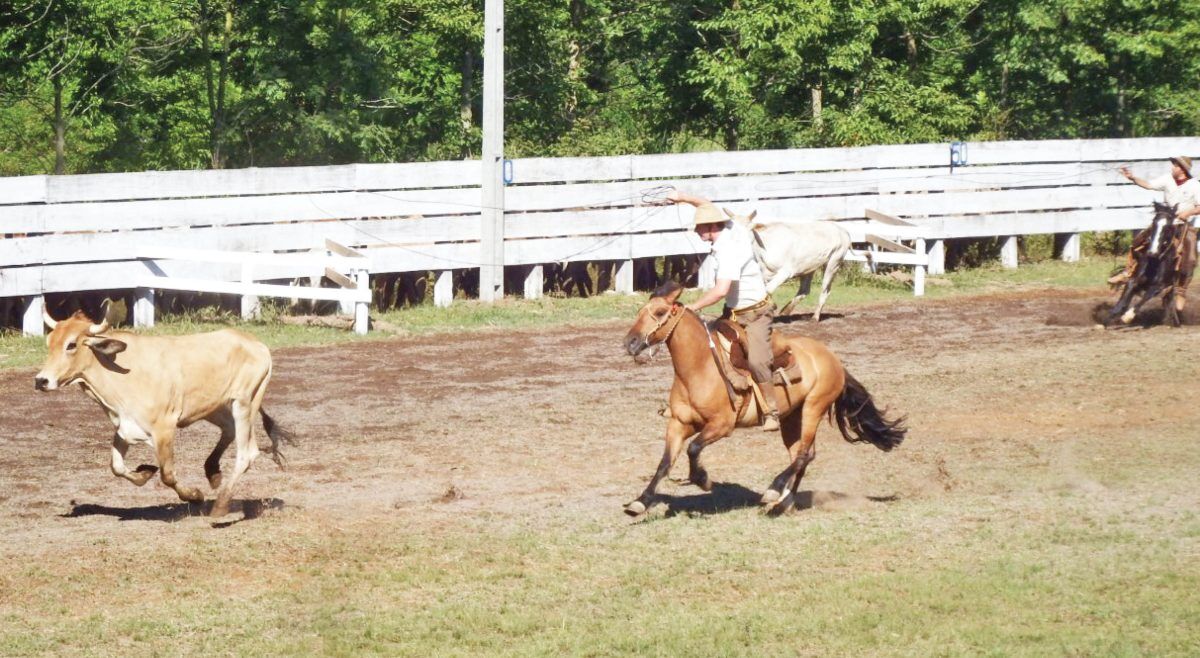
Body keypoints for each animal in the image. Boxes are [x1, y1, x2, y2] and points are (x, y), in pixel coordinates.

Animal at [35, 304, 290, 518]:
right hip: (214, 406)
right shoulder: (125, 426)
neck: (123, 371)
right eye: (49, 343)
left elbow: (167, 474)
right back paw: (212, 471)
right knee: (229, 430)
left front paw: (194, 496)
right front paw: (144, 472)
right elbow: (116, 466)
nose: (41, 381)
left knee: (247, 453)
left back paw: (221, 504)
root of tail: (256, 344)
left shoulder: (164, 428)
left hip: (245, 403)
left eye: (71, 344)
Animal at [624, 279, 902, 516]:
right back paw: (783, 502)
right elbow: (665, 463)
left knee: (803, 455)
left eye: (660, 312)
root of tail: (833, 359)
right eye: (641, 310)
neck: (700, 366)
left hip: (814, 408)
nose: (630, 342)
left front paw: (703, 480)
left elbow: (693, 449)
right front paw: (640, 502)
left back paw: (774, 491)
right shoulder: (679, 423)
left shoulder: (722, 425)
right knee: (801, 455)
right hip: (791, 418)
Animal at [720, 207, 854, 321]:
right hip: (809, 267)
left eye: (748, 230)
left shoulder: (785, 272)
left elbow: (766, 291)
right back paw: (786, 311)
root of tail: (842, 230)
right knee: (805, 290)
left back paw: (815, 317)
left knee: (825, 290)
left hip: (833, 262)